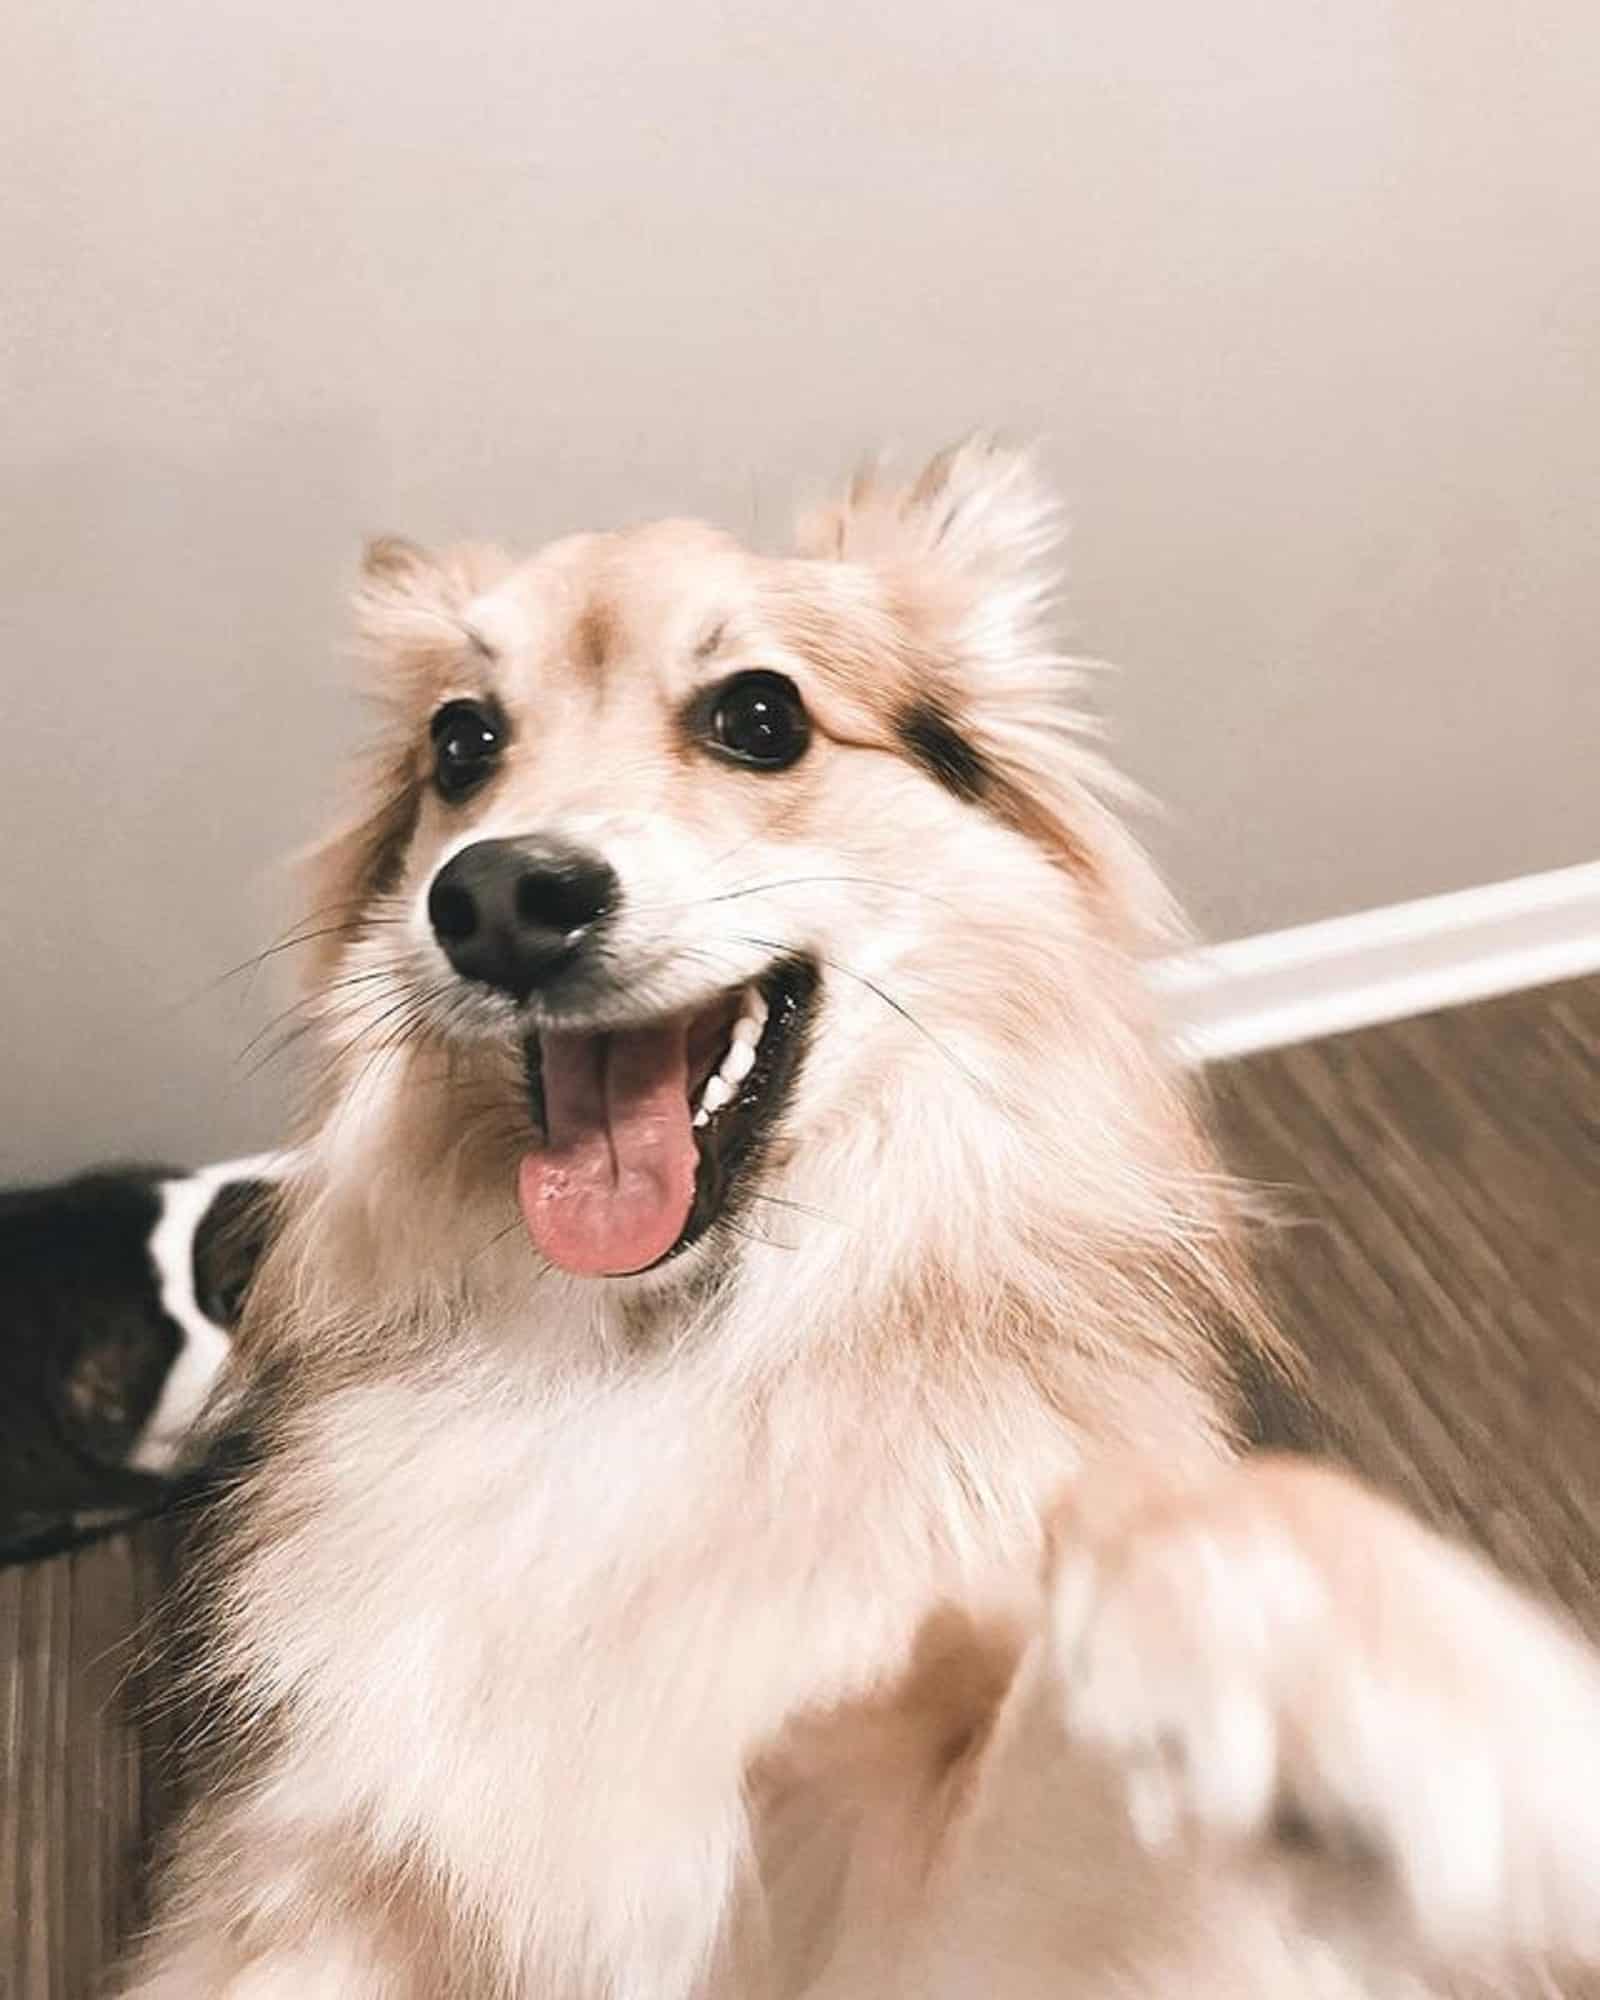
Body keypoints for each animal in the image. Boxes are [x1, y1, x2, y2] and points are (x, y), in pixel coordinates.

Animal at [122, 450, 1600, 2000]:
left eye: (759, 716)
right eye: (461, 745)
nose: (500, 896)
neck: (659, 1352)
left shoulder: (879, 1901)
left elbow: (1203, 1555)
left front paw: (1399, 1685)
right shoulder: (319, 1886)